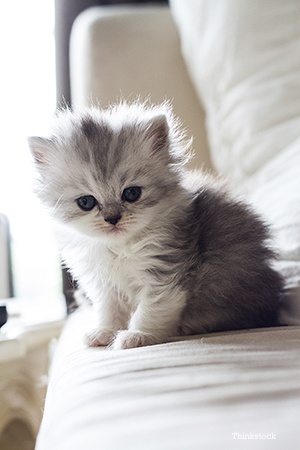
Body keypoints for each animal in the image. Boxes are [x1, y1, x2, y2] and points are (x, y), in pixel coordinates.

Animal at [28, 103, 284, 352]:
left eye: (131, 193)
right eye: (86, 202)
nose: (112, 218)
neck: (119, 249)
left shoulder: (164, 273)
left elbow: (152, 310)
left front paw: (138, 336)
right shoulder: (103, 284)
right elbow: (109, 310)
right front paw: (105, 332)